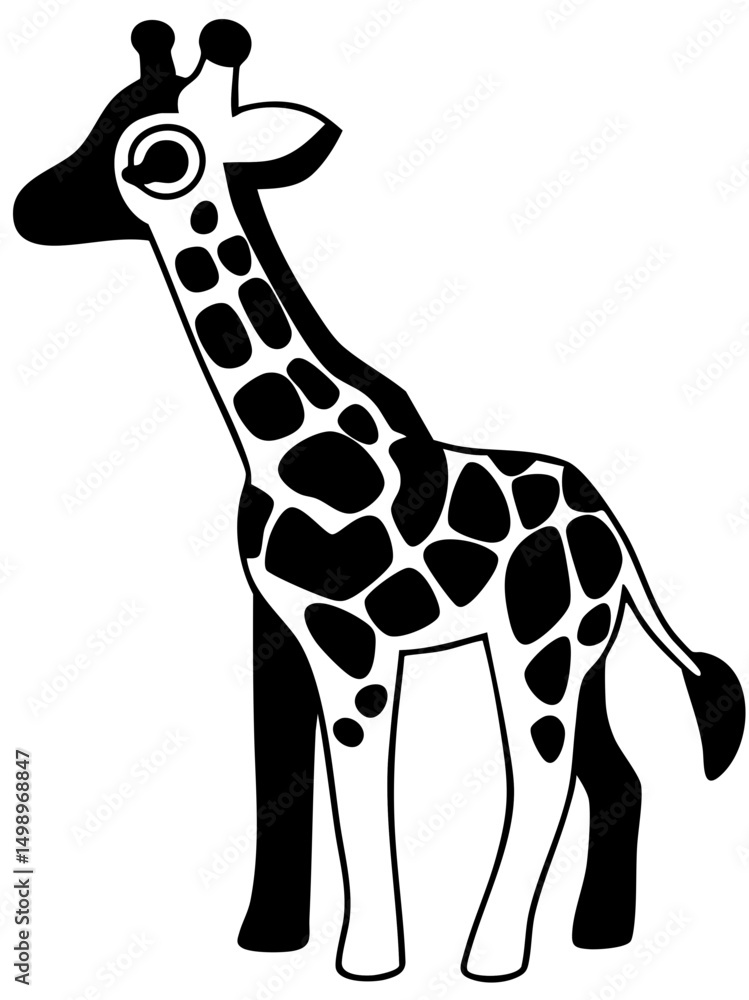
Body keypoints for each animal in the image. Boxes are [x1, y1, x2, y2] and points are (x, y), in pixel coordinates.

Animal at [14, 19, 745, 984]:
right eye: (97, 120)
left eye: (153, 155)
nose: (28, 207)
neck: (288, 446)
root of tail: (612, 531)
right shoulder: (280, 626)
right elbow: (283, 781)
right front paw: (272, 938)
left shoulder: (352, 643)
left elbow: (362, 791)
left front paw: (365, 960)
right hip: (584, 647)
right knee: (613, 775)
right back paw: (598, 936)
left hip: (538, 644)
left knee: (540, 775)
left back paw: (492, 956)